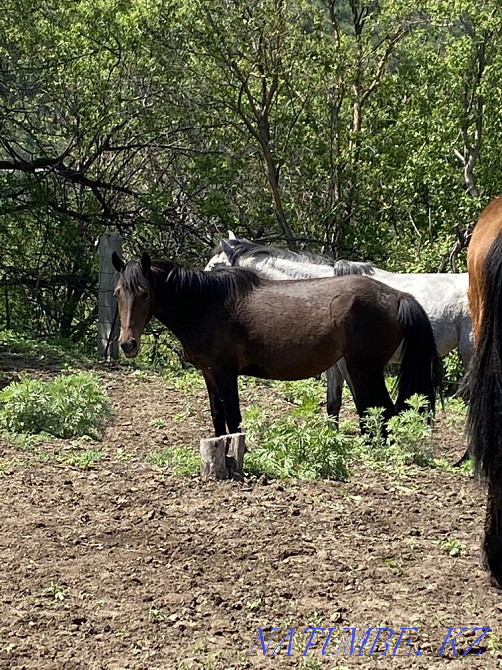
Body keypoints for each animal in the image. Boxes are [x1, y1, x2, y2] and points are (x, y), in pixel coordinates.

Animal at [112, 252, 442, 438]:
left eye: (143, 293)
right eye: (117, 292)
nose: (128, 344)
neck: (207, 304)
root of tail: (399, 296)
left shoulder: (225, 373)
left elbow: (234, 419)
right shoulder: (209, 373)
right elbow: (218, 419)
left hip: (364, 370)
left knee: (383, 412)